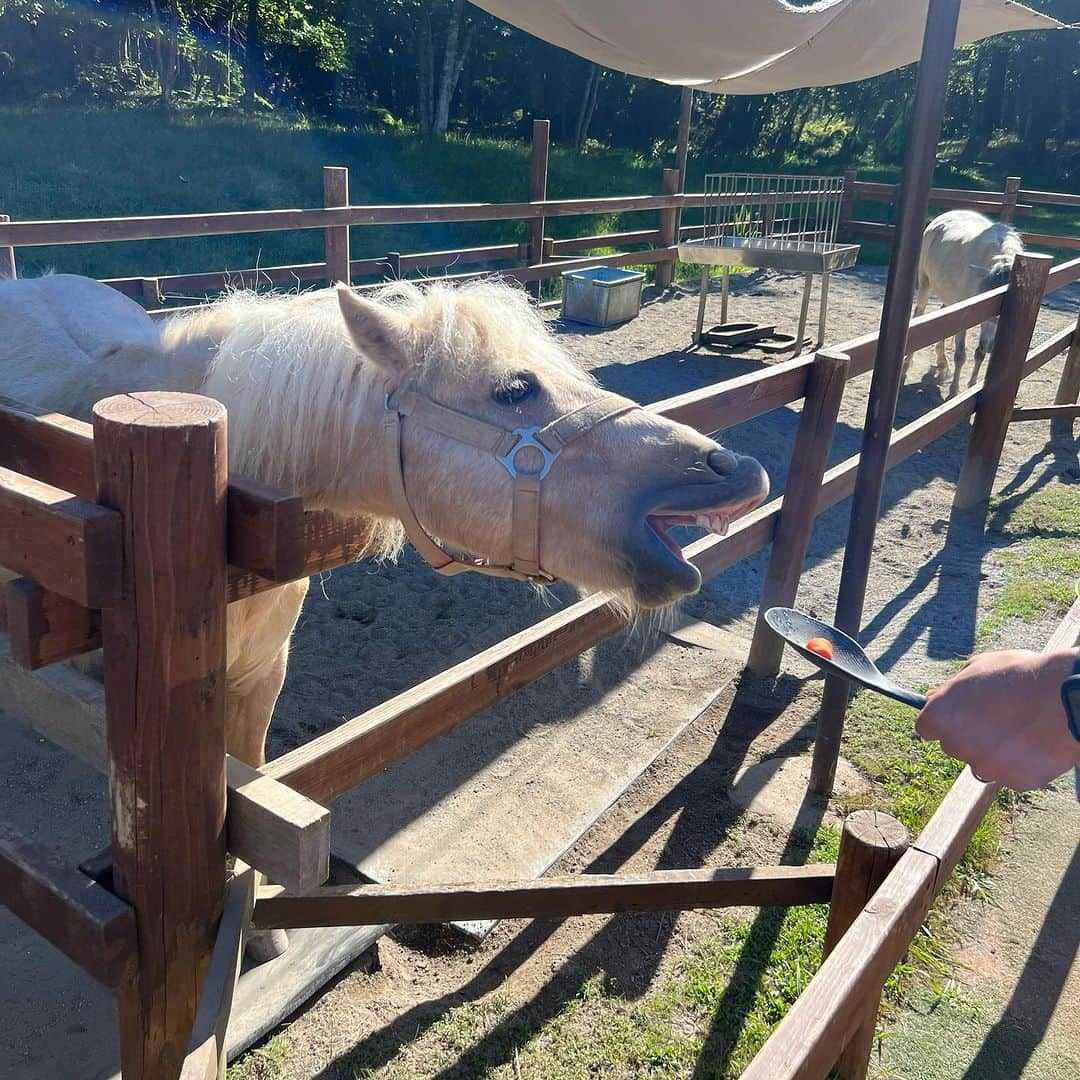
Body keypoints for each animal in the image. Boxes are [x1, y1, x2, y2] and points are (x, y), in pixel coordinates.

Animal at [907, 208, 1023, 395]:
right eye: (993, 303)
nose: (993, 345)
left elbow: (980, 353)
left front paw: (972, 385)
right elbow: (960, 355)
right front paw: (954, 391)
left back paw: (942, 363)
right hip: (925, 283)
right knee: (919, 313)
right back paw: (908, 363)